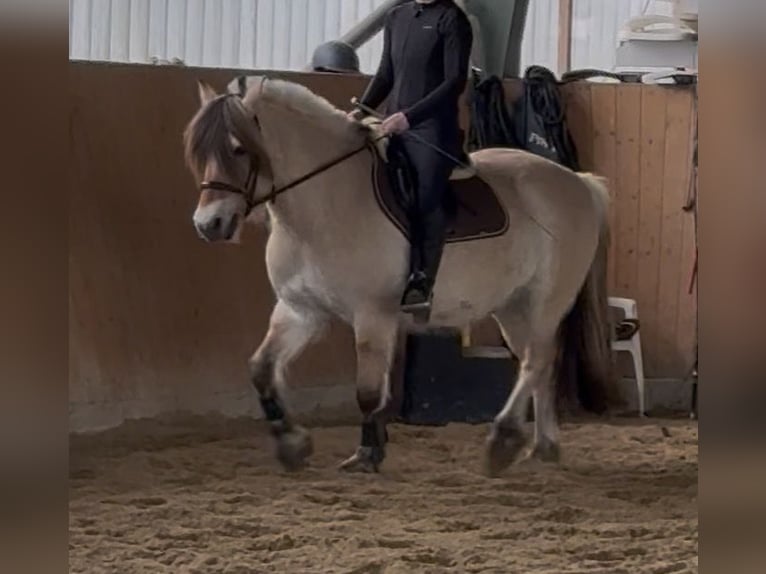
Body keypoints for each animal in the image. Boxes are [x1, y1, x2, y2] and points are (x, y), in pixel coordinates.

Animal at [182, 75, 617, 476]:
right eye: (198, 151)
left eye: (238, 149)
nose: (209, 224)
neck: (328, 201)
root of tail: (578, 181)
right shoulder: (300, 311)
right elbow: (261, 369)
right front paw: (292, 444)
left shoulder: (372, 316)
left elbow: (368, 391)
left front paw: (366, 454)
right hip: (513, 307)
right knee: (539, 362)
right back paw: (542, 447)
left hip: (545, 301)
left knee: (536, 360)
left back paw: (503, 440)